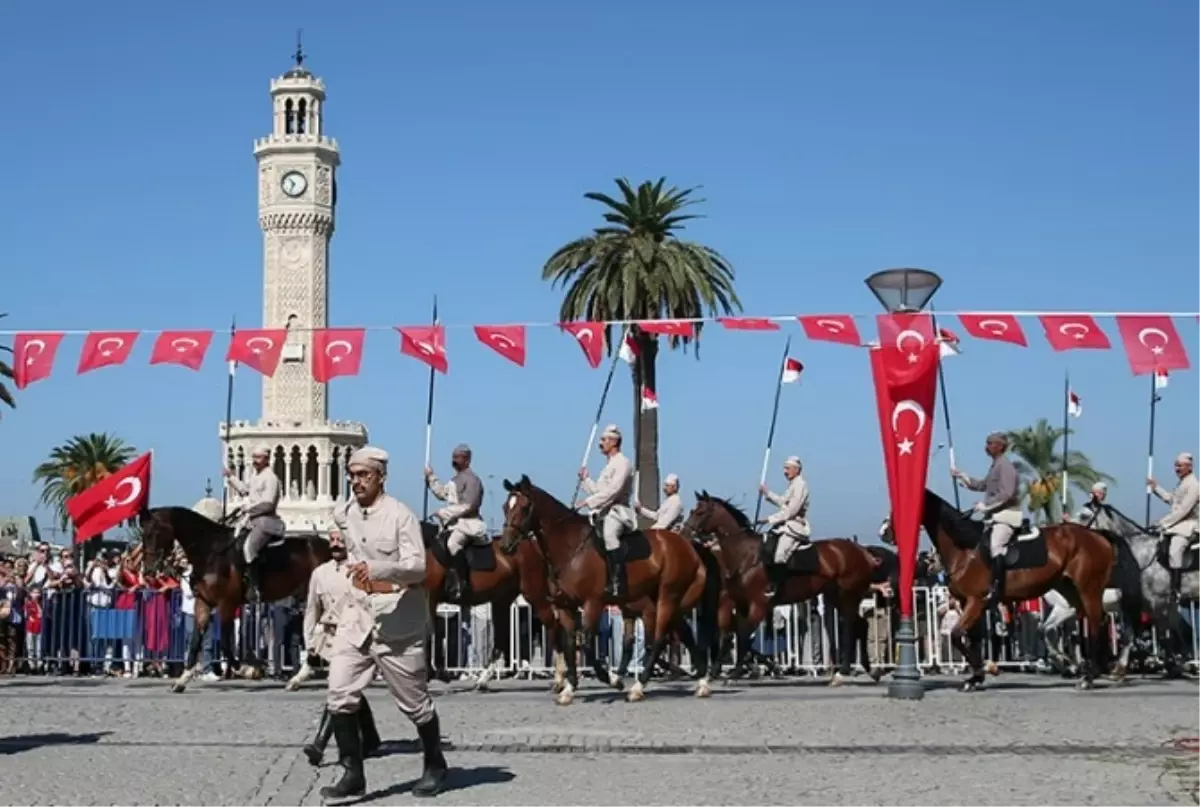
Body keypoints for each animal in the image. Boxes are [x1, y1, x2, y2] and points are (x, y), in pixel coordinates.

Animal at [138, 506, 331, 691]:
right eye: (143, 533)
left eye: (154, 531)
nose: (148, 571)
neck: (210, 551)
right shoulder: (203, 602)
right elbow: (195, 642)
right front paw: (182, 680)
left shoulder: (226, 604)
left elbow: (225, 643)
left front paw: (245, 668)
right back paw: (302, 676)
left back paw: (302, 675)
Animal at [499, 475, 715, 701]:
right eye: (506, 506)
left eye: (524, 507)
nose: (505, 545)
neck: (570, 547)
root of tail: (687, 546)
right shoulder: (566, 606)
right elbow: (570, 645)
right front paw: (569, 688)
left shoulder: (593, 603)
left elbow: (586, 644)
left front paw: (611, 678)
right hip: (669, 602)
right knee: (684, 634)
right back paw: (701, 682)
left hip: (667, 598)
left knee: (657, 640)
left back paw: (639, 686)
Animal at [681, 487, 888, 682]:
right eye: (692, 510)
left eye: (700, 512)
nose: (684, 534)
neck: (746, 556)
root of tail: (862, 551)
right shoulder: (739, 603)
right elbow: (730, 635)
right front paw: (717, 670)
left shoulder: (758, 605)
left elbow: (743, 636)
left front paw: (736, 671)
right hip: (837, 597)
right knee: (860, 625)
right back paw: (869, 670)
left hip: (849, 596)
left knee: (853, 627)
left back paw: (846, 669)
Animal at [921, 487, 1118, 691]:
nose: (929, 564)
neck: (966, 550)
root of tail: (1099, 537)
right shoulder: (966, 602)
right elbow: (970, 639)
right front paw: (976, 677)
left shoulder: (976, 601)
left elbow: (957, 635)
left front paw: (983, 671)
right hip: (1071, 593)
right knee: (1099, 621)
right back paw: (1090, 668)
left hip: (1088, 590)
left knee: (1095, 624)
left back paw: (1088, 676)